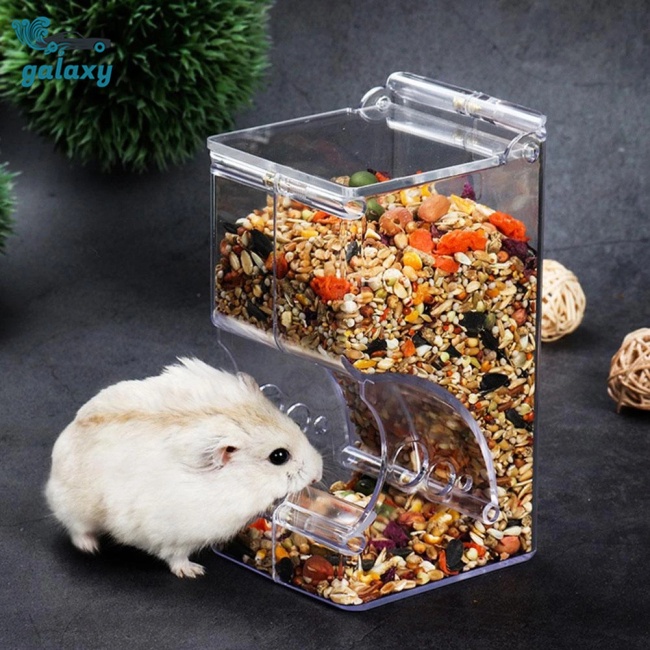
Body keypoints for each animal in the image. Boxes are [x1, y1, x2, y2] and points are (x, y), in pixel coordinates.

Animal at [45, 358, 323, 578]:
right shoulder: (175, 534)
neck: (241, 483)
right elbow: (175, 556)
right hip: (75, 507)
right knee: (75, 528)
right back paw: (90, 547)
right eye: (279, 456)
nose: (318, 473)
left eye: (297, 425)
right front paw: (194, 572)